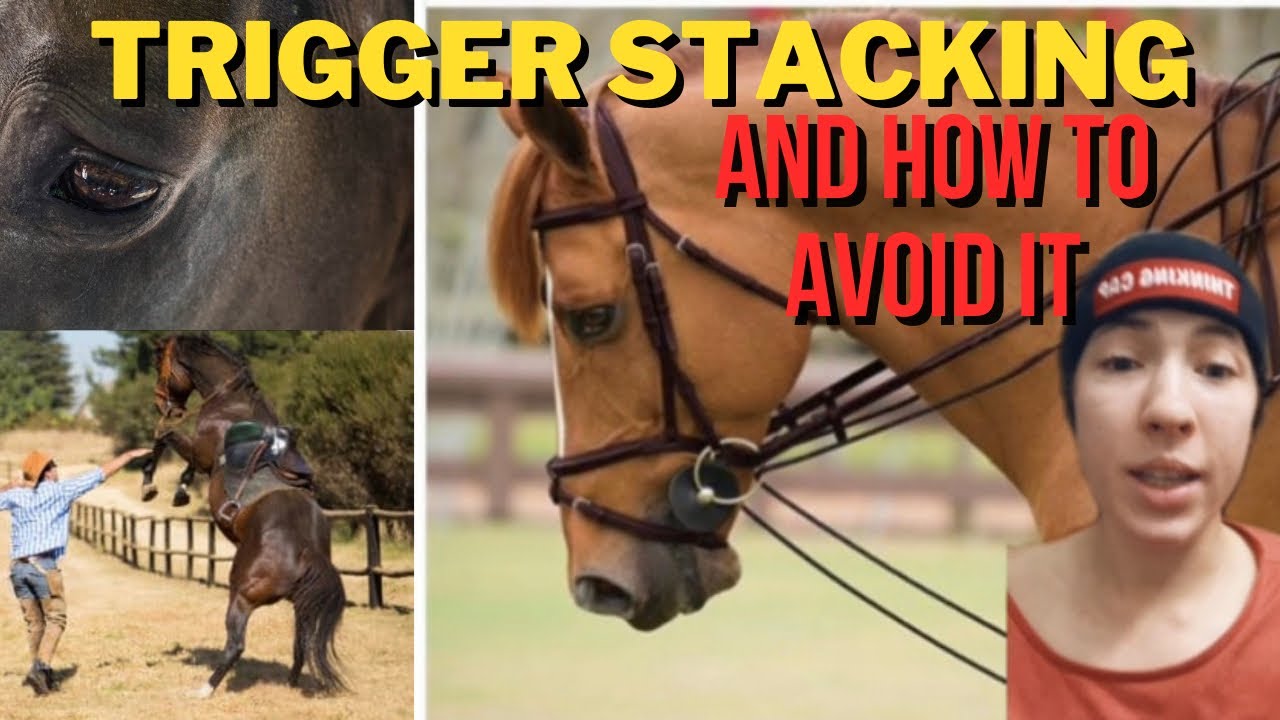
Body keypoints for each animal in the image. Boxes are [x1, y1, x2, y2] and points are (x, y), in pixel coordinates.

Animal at [142, 335, 344, 696]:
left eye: (158, 361)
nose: (162, 403)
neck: (229, 401)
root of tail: (307, 552)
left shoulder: (200, 453)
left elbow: (162, 436)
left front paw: (150, 483)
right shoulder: (201, 459)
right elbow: (179, 458)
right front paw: (180, 489)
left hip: (242, 595)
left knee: (236, 644)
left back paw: (205, 689)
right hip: (302, 606)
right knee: (301, 643)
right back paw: (290, 684)